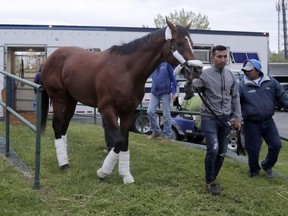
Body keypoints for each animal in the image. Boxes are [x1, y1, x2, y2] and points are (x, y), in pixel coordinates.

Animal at [40, 18, 202, 184]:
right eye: (179, 43)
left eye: (192, 43)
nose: (198, 70)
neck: (126, 71)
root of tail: (51, 58)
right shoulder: (106, 109)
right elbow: (118, 141)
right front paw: (103, 172)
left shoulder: (128, 111)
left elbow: (124, 141)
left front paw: (125, 174)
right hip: (58, 98)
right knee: (57, 126)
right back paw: (63, 164)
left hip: (71, 101)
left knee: (64, 127)